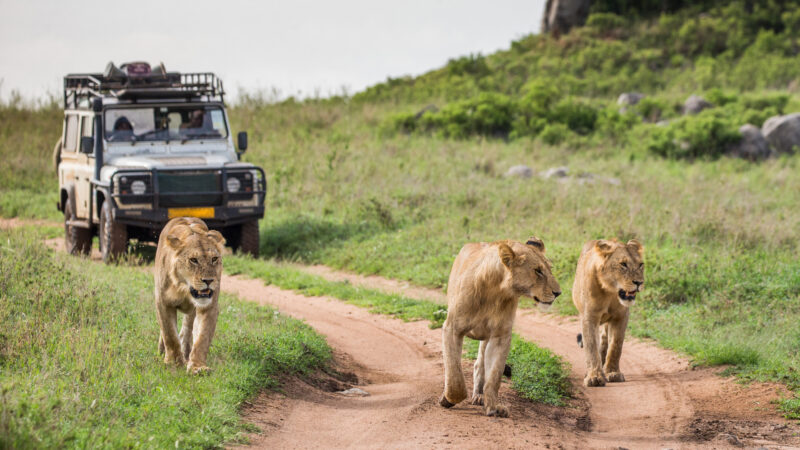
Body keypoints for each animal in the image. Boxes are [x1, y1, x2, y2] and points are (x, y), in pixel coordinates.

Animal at [154, 217, 225, 374]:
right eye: (194, 260)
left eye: (214, 259)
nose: (208, 281)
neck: (184, 288)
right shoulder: (163, 302)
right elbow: (169, 334)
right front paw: (174, 363)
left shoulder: (209, 306)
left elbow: (202, 337)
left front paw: (198, 367)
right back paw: (162, 350)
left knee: (187, 329)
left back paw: (186, 352)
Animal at [439, 237, 561, 417]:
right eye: (538, 271)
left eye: (549, 269)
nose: (558, 293)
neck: (496, 291)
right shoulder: (452, 328)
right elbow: (455, 374)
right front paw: (447, 399)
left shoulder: (500, 336)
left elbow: (494, 376)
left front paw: (493, 407)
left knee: (480, 364)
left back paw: (479, 395)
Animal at [572, 239, 644, 387]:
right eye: (623, 264)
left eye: (641, 265)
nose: (639, 282)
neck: (610, 292)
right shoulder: (589, 317)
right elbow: (591, 346)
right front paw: (594, 377)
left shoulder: (621, 317)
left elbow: (616, 345)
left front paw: (613, 373)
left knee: (605, 339)